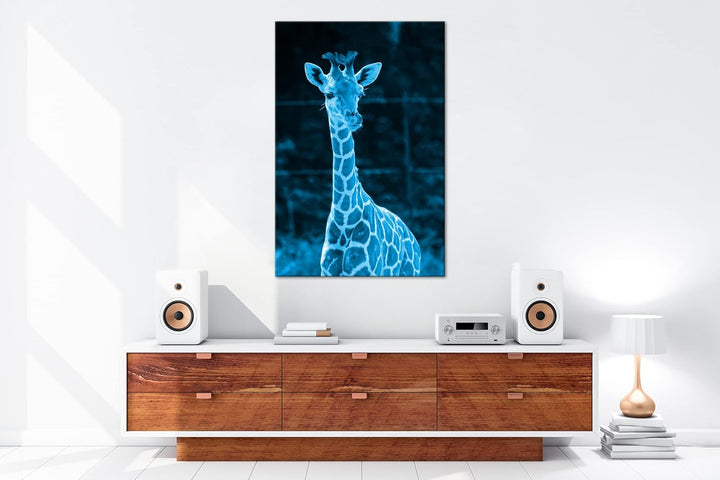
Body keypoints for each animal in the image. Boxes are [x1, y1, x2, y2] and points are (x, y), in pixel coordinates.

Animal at [304, 51, 421, 276]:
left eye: (360, 93)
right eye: (329, 94)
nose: (354, 118)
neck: (344, 218)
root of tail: (413, 239)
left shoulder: (366, 271)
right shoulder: (326, 272)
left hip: (410, 272)